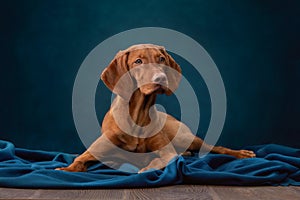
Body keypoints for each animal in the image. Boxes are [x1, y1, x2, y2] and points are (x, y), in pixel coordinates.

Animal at [56, 43, 255, 173]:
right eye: (138, 61)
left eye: (161, 59)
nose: (161, 78)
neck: (137, 116)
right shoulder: (99, 149)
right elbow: (78, 160)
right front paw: (65, 169)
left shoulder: (167, 152)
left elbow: (160, 160)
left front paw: (146, 168)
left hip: (185, 137)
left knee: (215, 147)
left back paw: (242, 153)